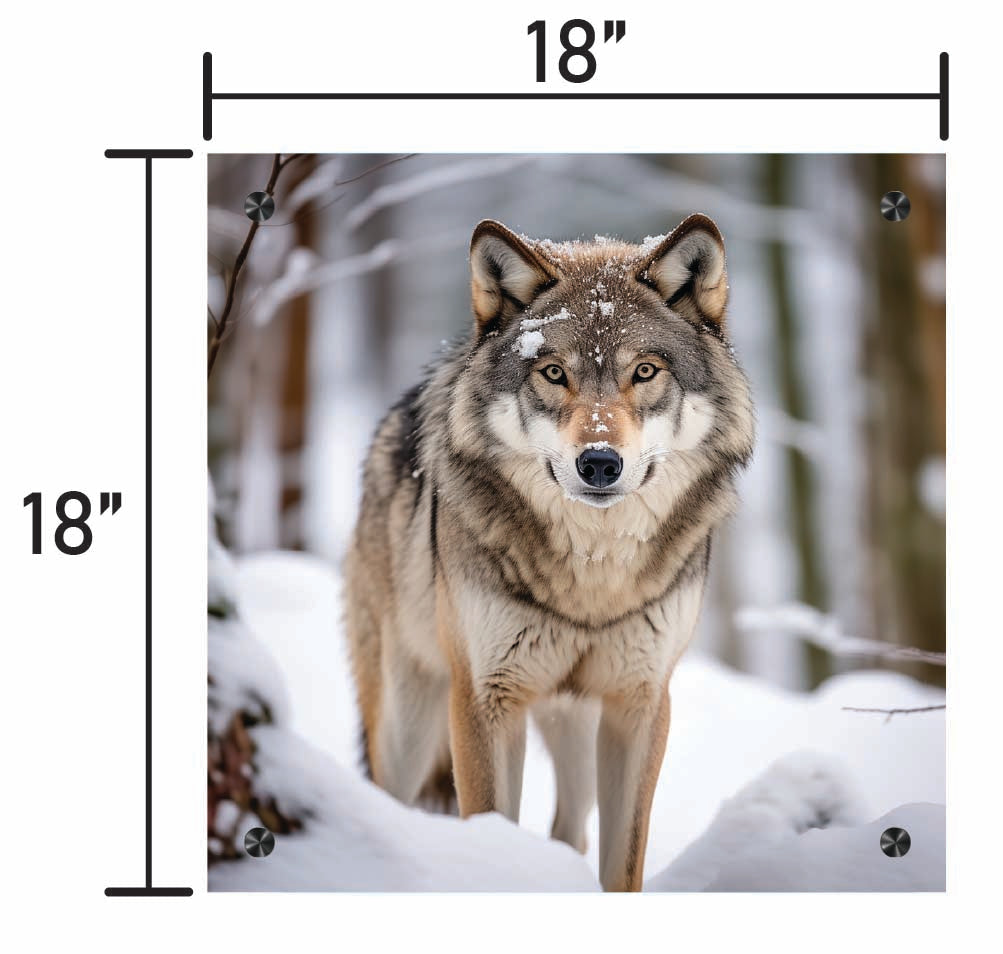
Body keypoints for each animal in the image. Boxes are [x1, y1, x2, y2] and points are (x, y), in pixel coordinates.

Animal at [344, 214, 754, 891]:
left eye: (645, 372)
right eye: (554, 373)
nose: (600, 463)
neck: (593, 576)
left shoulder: (640, 703)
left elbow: (623, 863)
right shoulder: (483, 699)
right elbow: (491, 829)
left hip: (577, 725)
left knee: (570, 831)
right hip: (408, 721)